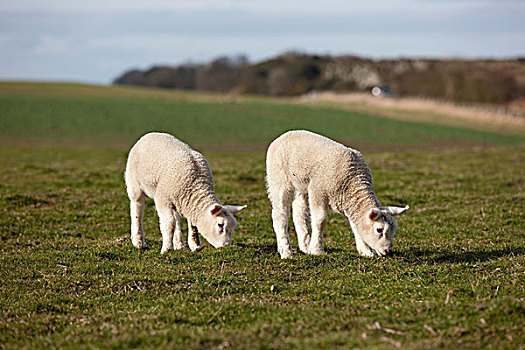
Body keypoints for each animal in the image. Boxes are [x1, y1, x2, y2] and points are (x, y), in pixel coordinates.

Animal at [266, 130, 410, 258]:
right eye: (379, 230)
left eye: (394, 229)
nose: (388, 251)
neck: (353, 180)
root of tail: (283, 136)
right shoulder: (318, 190)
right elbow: (320, 220)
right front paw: (317, 250)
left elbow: (355, 225)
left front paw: (366, 251)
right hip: (279, 179)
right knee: (280, 215)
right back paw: (286, 252)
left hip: (301, 185)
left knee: (299, 214)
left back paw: (305, 246)